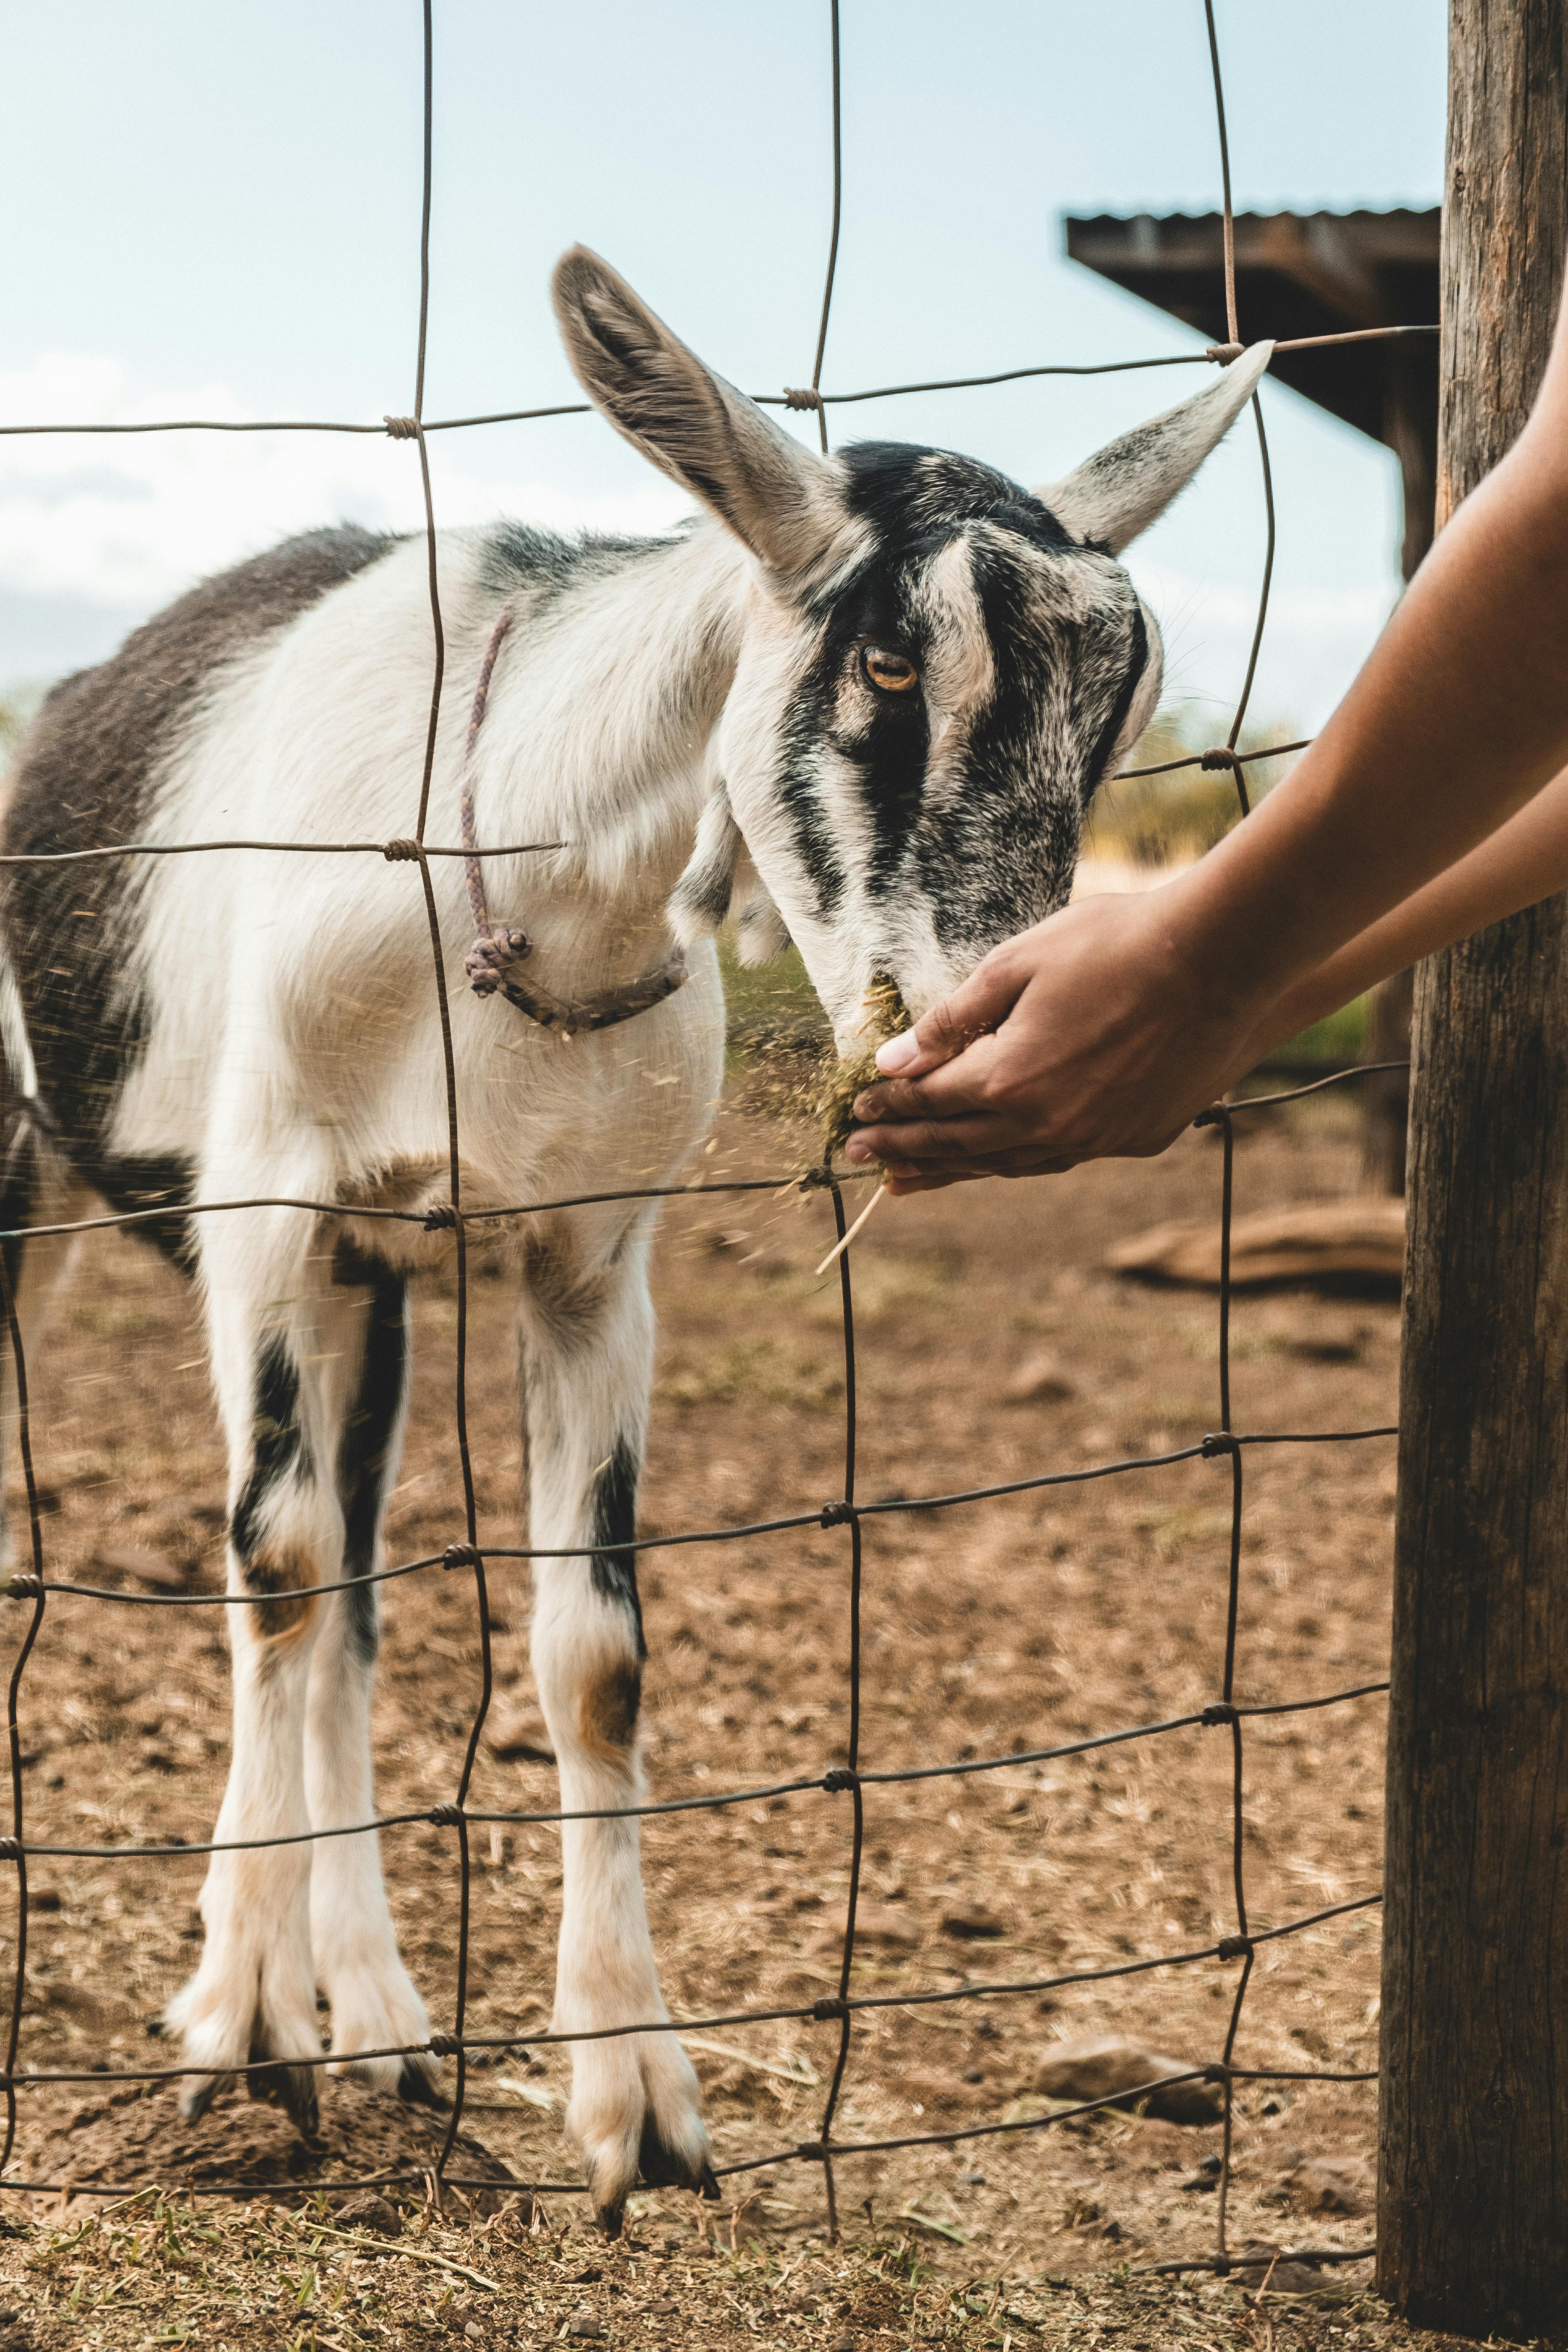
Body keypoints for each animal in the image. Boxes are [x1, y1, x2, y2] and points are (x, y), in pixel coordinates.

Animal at [0, 248, 1269, 2230]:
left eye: (1114, 718)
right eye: (887, 663)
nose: (987, 1019)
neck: (515, 894)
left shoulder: (593, 1261)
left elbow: (584, 1654)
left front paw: (634, 2102)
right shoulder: (268, 1203)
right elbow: (269, 1566)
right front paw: (237, 2032)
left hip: (379, 1280)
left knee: (355, 1596)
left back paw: (378, 2012)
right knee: (285, 1568)